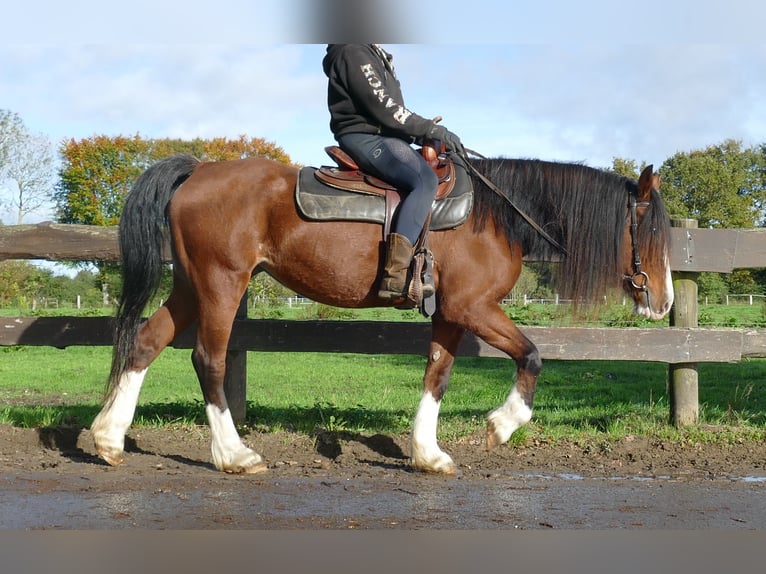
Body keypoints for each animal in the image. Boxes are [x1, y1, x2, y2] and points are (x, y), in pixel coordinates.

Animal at [90, 154, 674, 475]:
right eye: (648, 231)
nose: (664, 302)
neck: (496, 217)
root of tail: (199, 170)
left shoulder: (451, 314)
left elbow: (437, 375)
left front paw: (427, 453)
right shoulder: (474, 307)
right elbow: (531, 356)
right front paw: (502, 426)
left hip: (192, 286)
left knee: (145, 343)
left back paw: (108, 439)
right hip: (221, 285)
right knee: (208, 359)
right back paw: (234, 454)